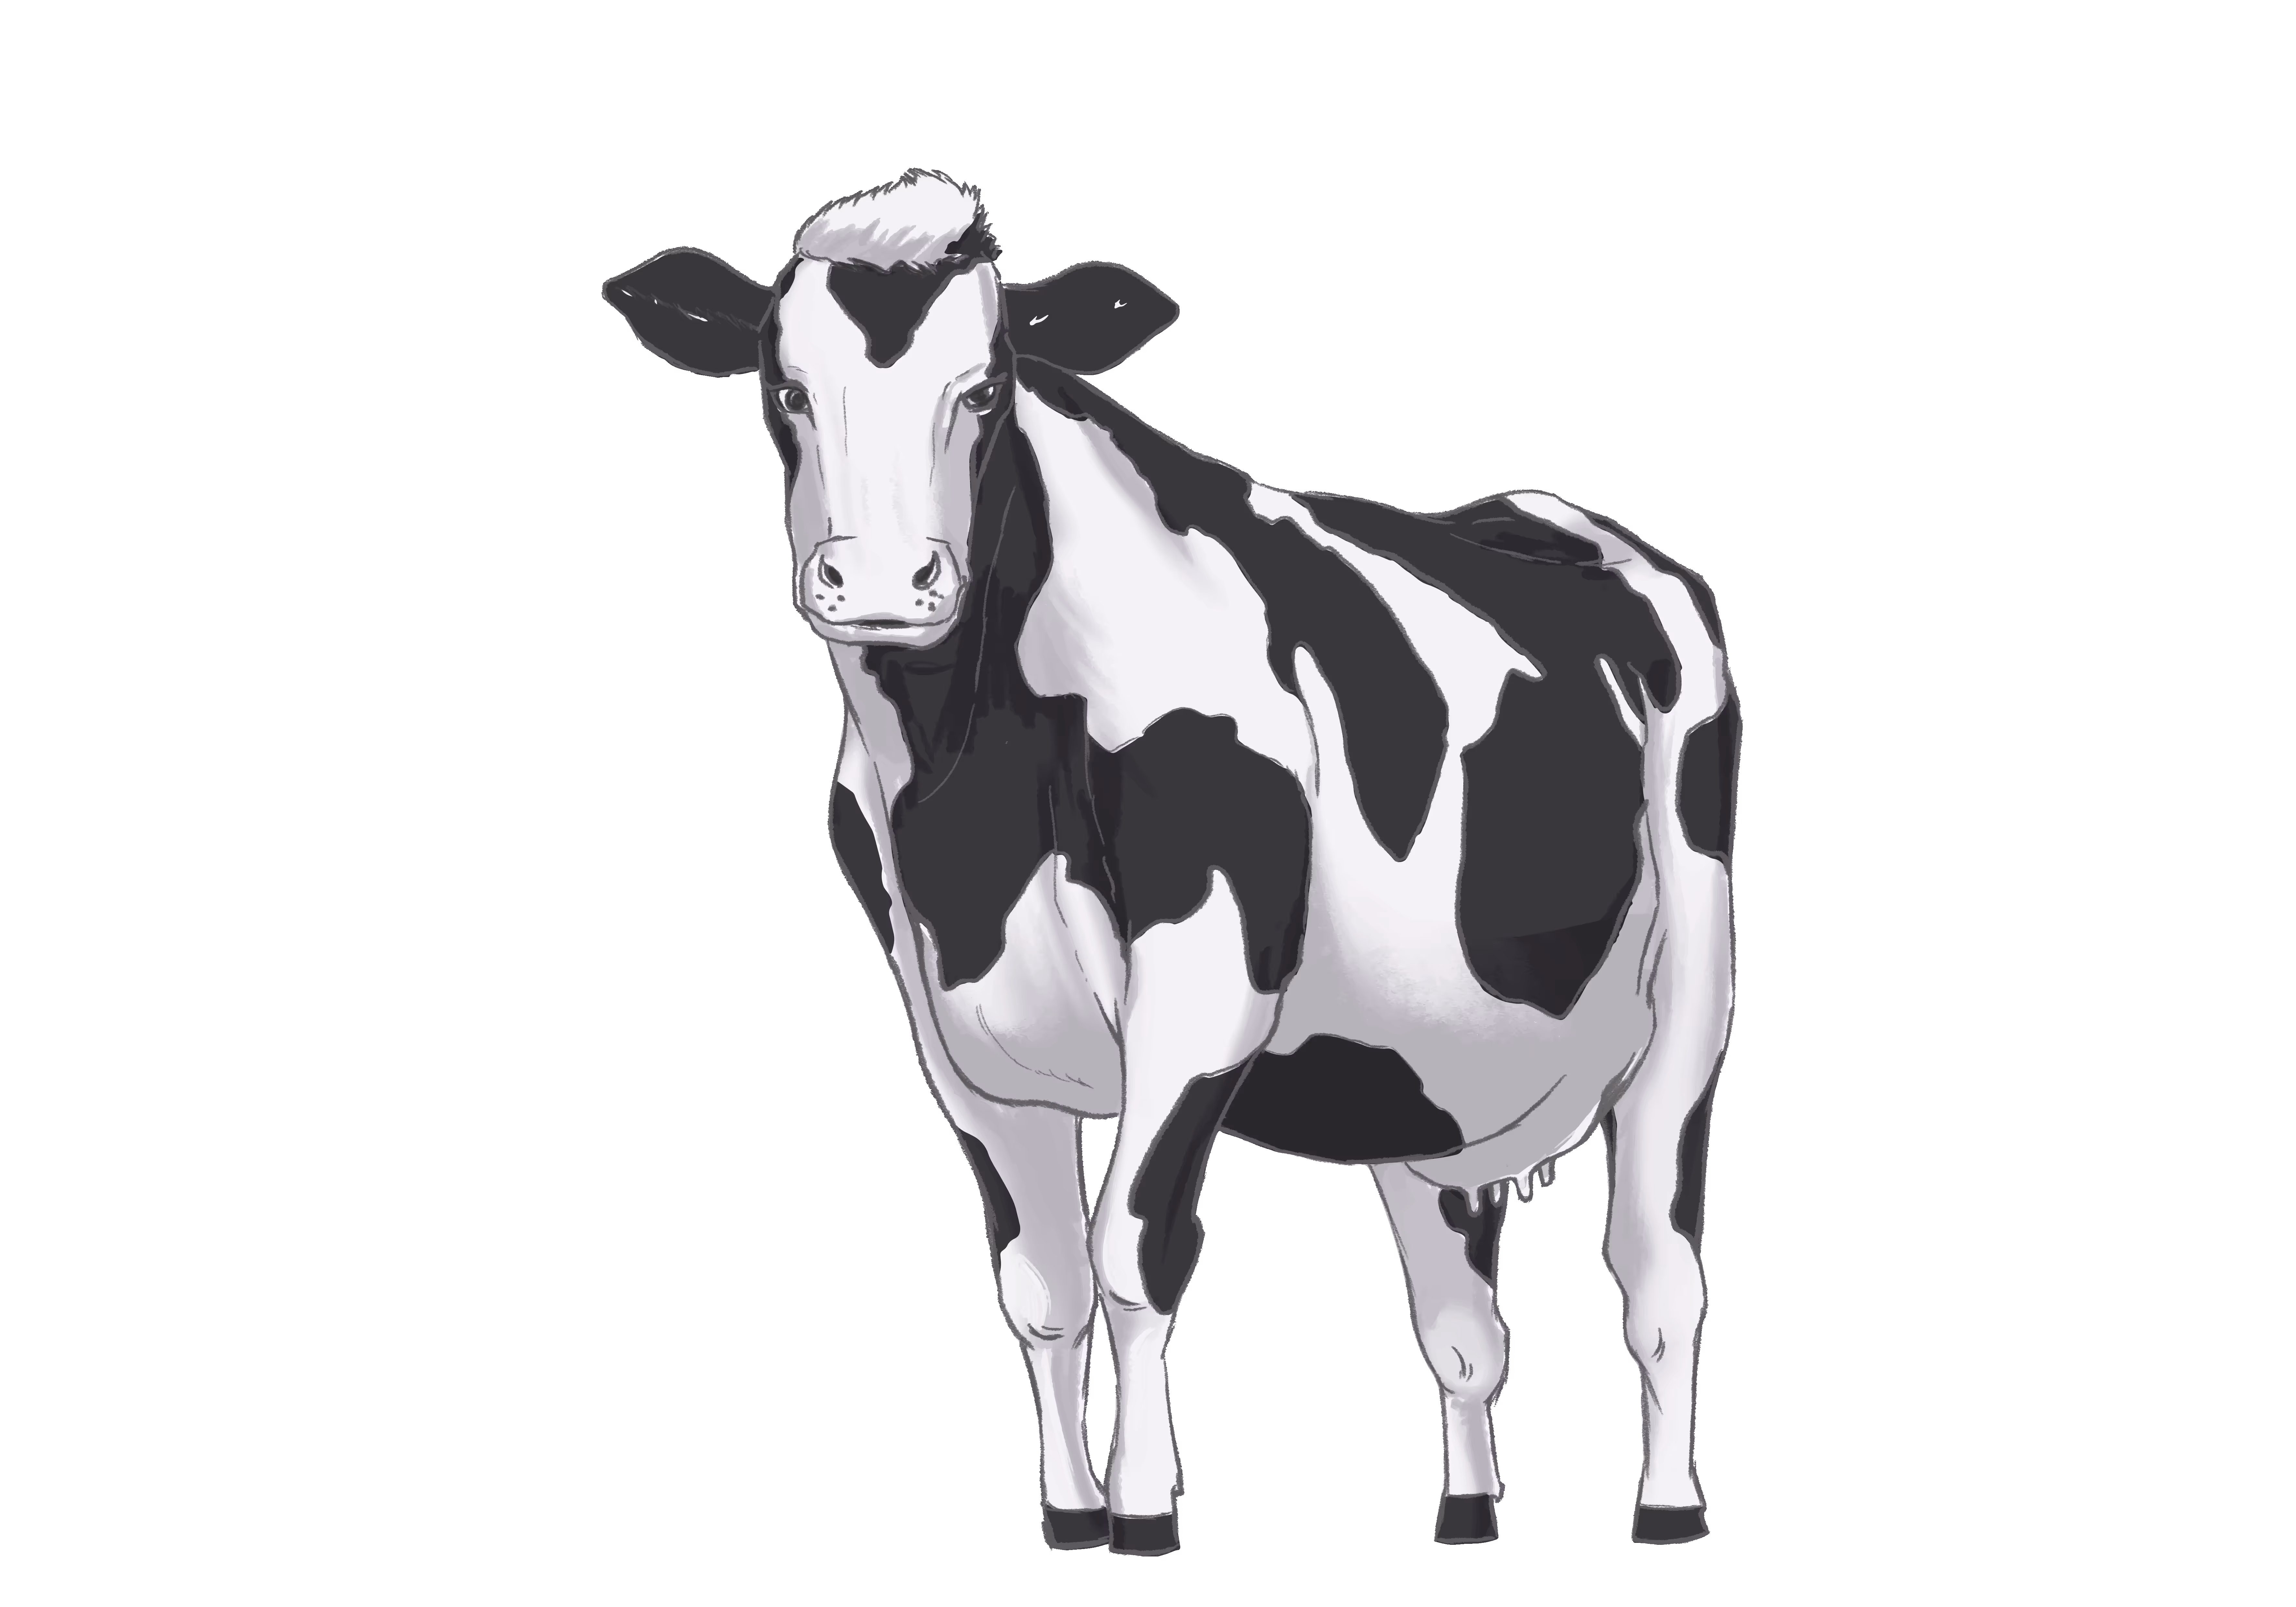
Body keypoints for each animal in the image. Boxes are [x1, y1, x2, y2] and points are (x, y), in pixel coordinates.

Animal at [603, 170, 1739, 1556]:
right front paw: (1066, 1511)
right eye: (784, 388)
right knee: (1463, 1326)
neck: (965, 801)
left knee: (1657, 1281)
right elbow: (1040, 1283)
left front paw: (1144, 1510)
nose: (877, 582)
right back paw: (1466, 1511)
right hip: (1425, 1073)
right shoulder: (953, 1030)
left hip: (1690, 999)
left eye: (986, 388)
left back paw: (1668, 1507)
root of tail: (1550, 515)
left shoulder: (1204, 996)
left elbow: (1134, 1258)